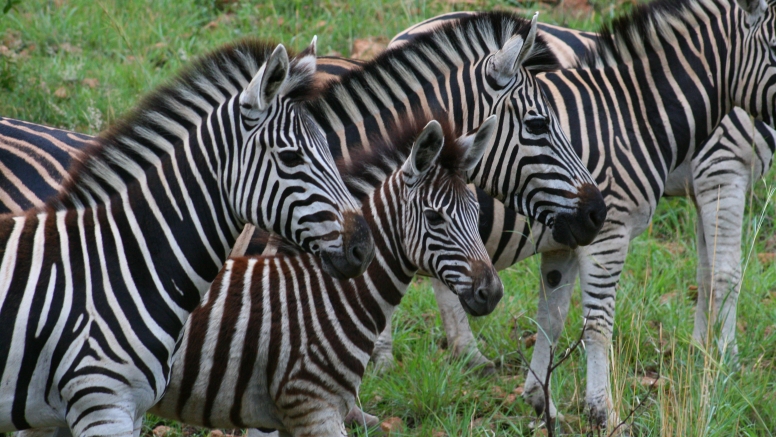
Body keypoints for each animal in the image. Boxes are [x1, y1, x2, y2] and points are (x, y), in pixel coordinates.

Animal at [360, 0, 776, 428]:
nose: (595, 207)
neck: (638, 115)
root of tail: (403, 34)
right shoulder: (718, 172)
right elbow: (719, 277)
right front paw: (722, 364)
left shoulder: (576, 235)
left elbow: (558, 317)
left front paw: (701, 355)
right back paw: (384, 361)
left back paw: (466, 356)